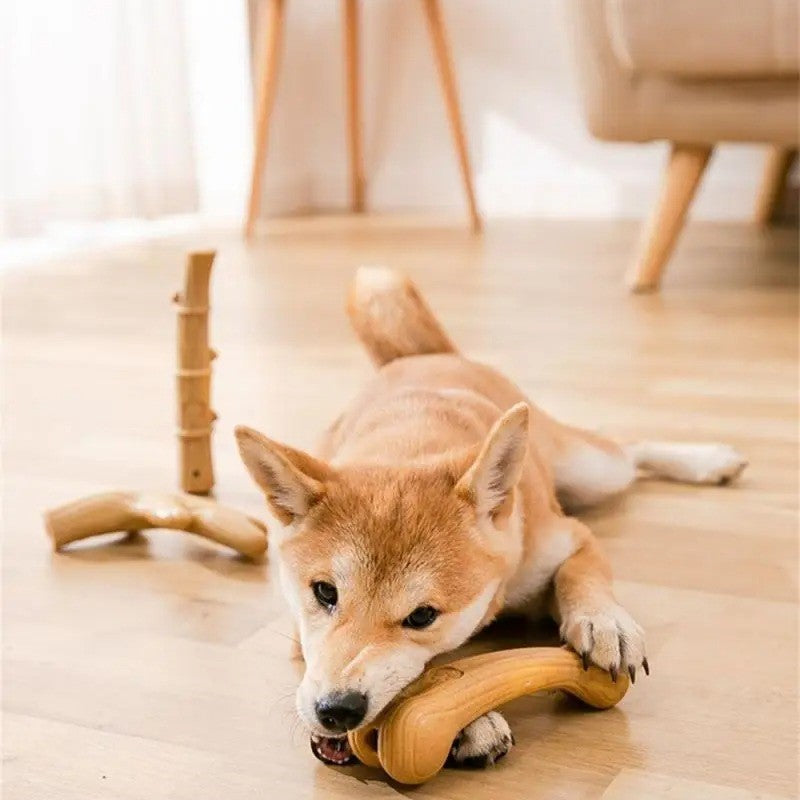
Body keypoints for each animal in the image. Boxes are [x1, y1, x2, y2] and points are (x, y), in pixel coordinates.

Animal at [234, 268, 748, 768]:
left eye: (422, 616)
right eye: (324, 592)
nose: (337, 710)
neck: (414, 440)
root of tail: (428, 356)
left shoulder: (569, 537)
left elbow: (582, 574)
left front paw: (604, 622)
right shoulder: (301, 637)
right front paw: (469, 722)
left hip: (593, 472)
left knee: (630, 449)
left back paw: (709, 460)